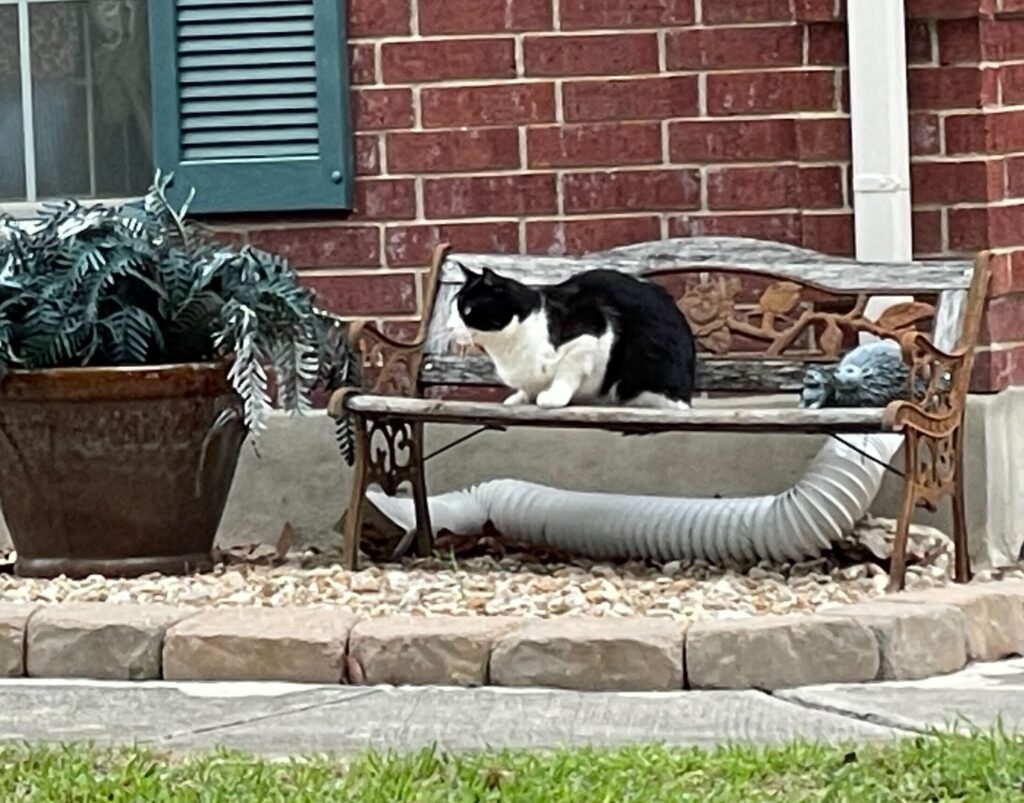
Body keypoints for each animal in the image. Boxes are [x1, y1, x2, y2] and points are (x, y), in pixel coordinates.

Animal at [448, 266, 696, 411]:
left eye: (467, 310)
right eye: (452, 308)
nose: (449, 327)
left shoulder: (592, 334)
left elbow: (566, 373)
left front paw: (551, 397)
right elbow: (528, 388)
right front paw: (520, 397)